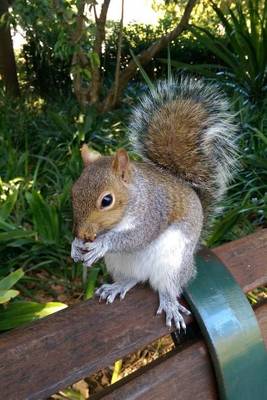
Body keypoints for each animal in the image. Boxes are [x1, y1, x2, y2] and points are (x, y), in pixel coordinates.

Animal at [71, 76, 239, 330]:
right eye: (73, 191)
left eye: (107, 200)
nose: (83, 234)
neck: (134, 198)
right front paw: (75, 246)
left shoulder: (154, 212)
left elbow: (137, 237)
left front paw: (101, 243)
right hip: (118, 264)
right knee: (132, 278)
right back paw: (118, 286)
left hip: (173, 264)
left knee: (168, 287)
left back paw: (169, 304)